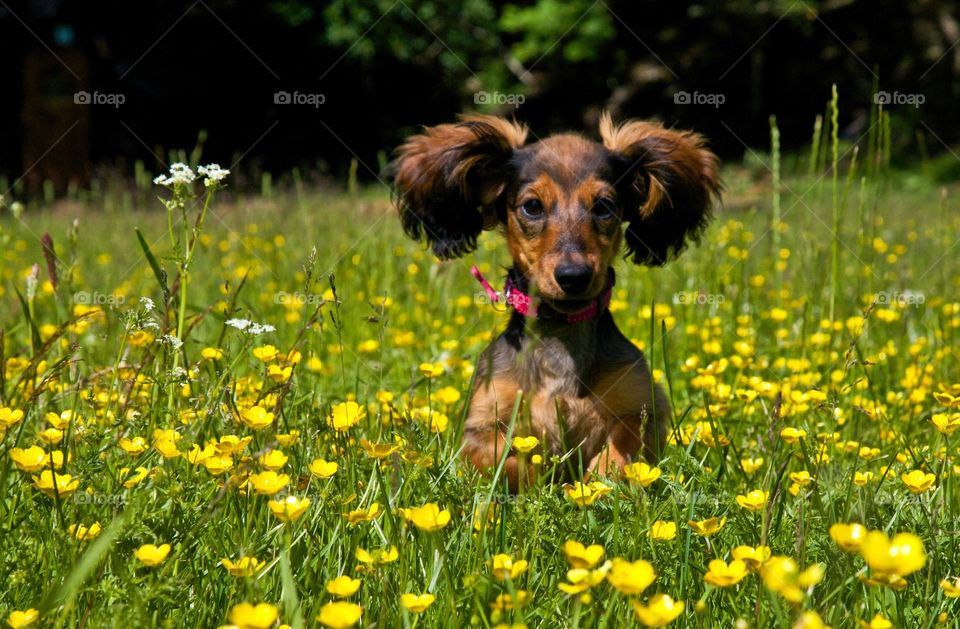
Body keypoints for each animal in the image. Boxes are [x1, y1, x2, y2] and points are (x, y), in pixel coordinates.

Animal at [390, 111, 720, 486]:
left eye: (603, 206)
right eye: (532, 206)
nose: (573, 276)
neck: (561, 333)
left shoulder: (642, 410)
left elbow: (620, 454)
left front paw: (592, 484)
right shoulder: (480, 427)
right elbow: (511, 456)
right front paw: (543, 477)